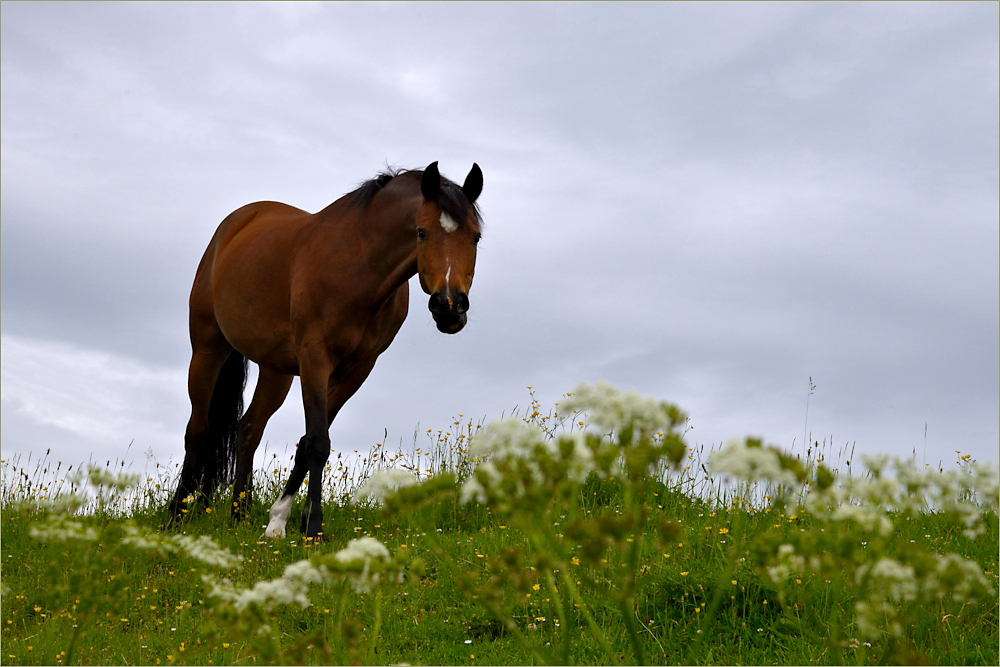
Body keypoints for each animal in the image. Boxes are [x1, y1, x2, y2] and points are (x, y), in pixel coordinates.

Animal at [169, 163, 484, 544]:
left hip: (276, 370)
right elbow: (318, 442)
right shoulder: (315, 359)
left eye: (475, 237)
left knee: (248, 430)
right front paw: (314, 529)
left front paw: (280, 521)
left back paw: (238, 517)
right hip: (208, 349)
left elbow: (306, 443)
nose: (449, 307)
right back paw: (174, 517)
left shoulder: (358, 369)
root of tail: (233, 226)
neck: (357, 266)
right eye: (421, 232)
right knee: (198, 430)